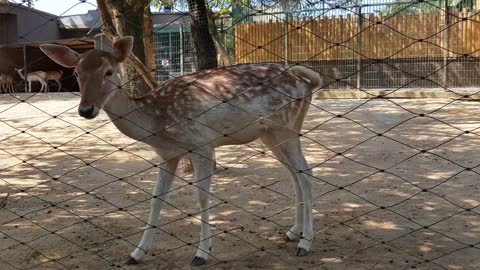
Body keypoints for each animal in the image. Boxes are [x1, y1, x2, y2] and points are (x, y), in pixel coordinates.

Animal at [39, 37, 320, 266]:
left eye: (108, 72)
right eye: (77, 73)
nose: (86, 110)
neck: (157, 123)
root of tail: (306, 82)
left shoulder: (201, 143)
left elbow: (202, 197)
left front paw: (202, 253)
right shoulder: (167, 155)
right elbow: (156, 198)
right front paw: (136, 253)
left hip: (287, 127)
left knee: (306, 173)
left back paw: (305, 243)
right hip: (271, 135)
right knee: (295, 175)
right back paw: (293, 232)